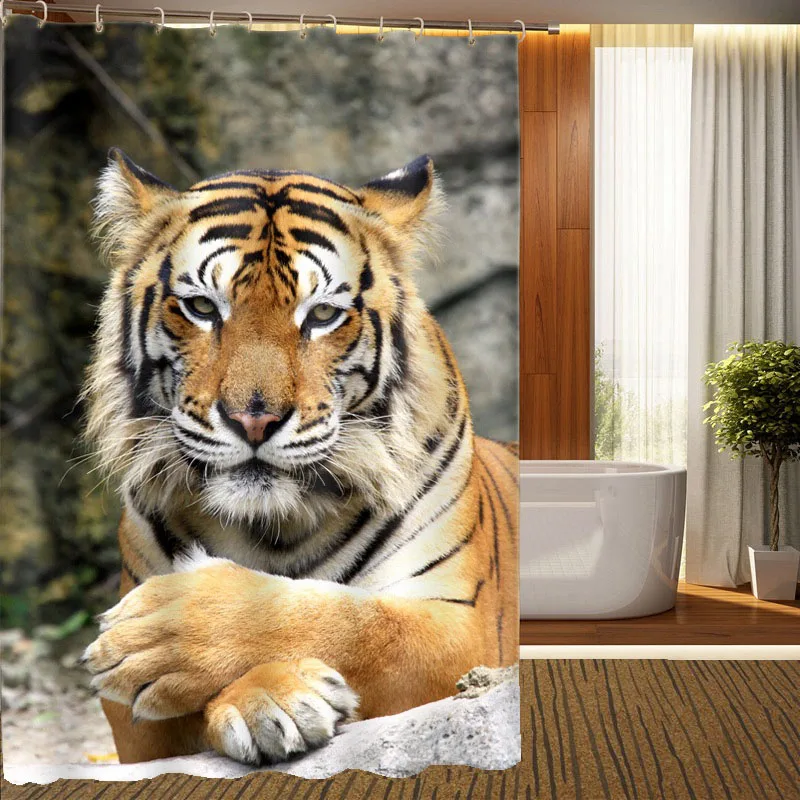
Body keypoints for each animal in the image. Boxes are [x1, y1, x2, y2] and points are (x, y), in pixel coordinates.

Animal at [80, 148, 519, 766]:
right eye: (201, 307)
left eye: (322, 315)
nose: (254, 419)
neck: (274, 528)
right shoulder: (137, 731)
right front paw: (272, 698)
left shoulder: (465, 625)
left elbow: (358, 622)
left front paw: (169, 633)